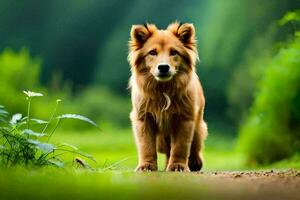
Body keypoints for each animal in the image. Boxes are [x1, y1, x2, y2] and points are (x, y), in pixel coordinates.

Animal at [127, 22, 207, 172]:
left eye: (174, 52)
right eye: (152, 52)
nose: (163, 67)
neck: (163, 90)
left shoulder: (185, 119)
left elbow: (181, 146)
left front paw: (178, 166)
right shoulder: (143, 118)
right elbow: (146, 145)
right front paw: (146, 165)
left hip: (198, 126)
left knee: (194, 146)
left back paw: (195, 162)